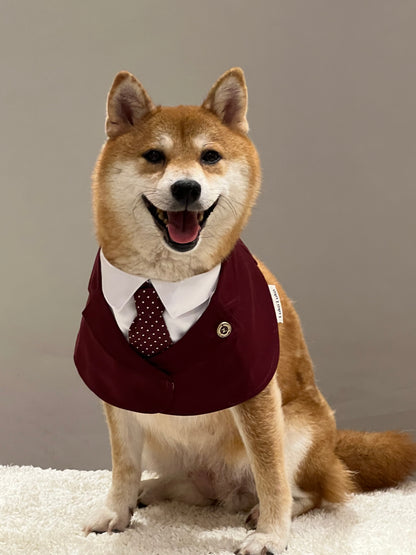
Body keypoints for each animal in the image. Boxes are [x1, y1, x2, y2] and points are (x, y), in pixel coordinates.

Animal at [75, 67, 416, 552]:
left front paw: (272, 535)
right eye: (155, 156)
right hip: (167, 444)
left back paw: (267, 512)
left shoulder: (256, 393)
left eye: (210, 157)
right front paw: (115, 511)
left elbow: (270, 474)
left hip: (298, 429)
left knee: (311, 490)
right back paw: (151, 490)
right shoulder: (118, 387)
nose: (186, 187)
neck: (162, 284)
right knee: (187, 485)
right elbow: (123, 465)